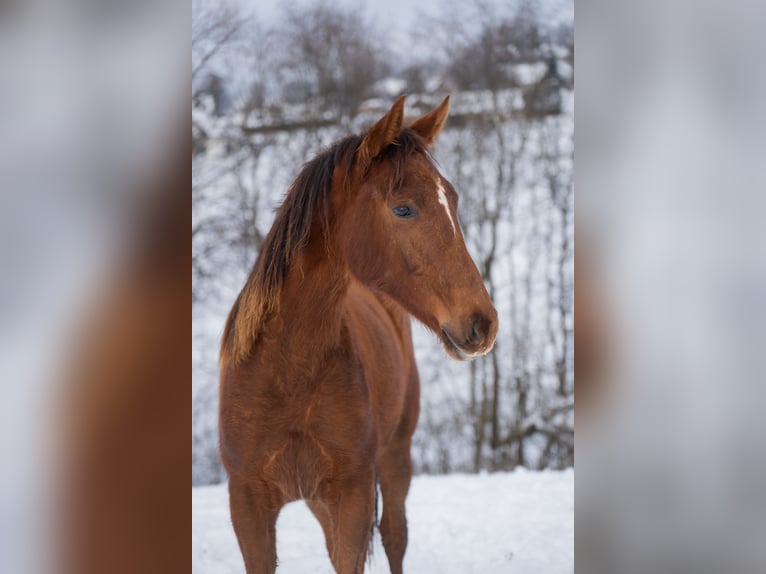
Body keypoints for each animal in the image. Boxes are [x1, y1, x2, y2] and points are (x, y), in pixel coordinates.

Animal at [218, 95, 498, 574]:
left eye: (454, 200)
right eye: (403, 208)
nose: (483, 322)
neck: (288, 370)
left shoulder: (352, 497)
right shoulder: (248, 507)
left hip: (394, 457)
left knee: (394, 536)